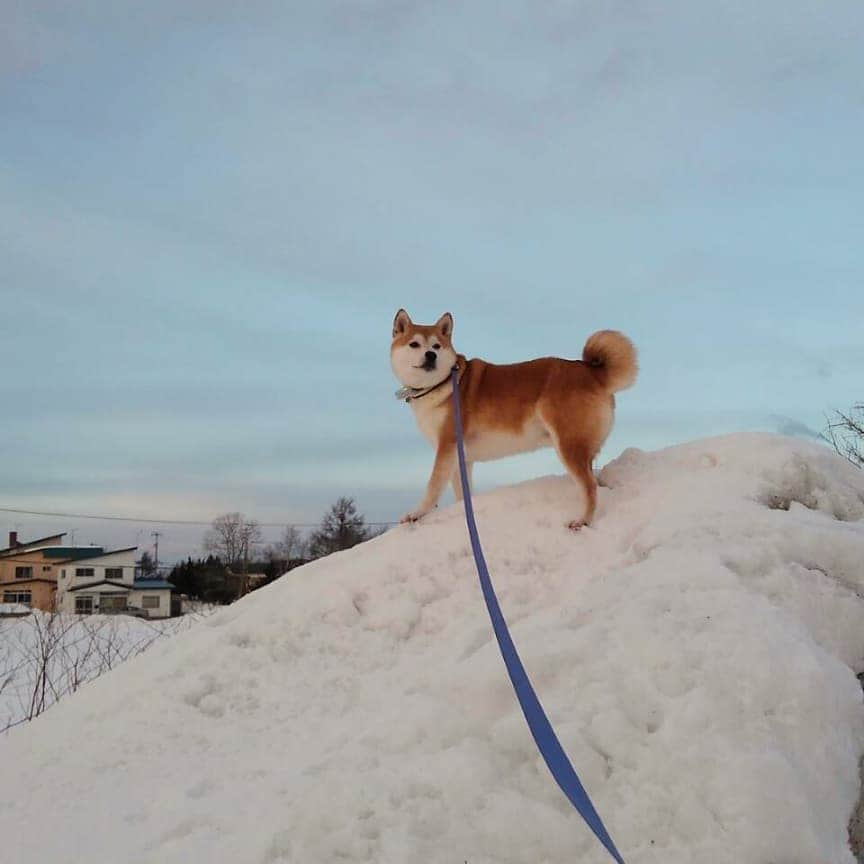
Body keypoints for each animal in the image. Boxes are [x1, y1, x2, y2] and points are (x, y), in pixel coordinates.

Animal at [390, 308, 636, 528]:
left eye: (436, 346)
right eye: (414, 344)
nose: (430, 355)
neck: (441, 385)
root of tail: (591, 372)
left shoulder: (446, 447)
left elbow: (432, 487)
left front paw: (416, 513)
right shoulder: (461, 458)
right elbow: (463, 494)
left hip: (568, 445)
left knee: (589, 487)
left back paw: (582, 520)